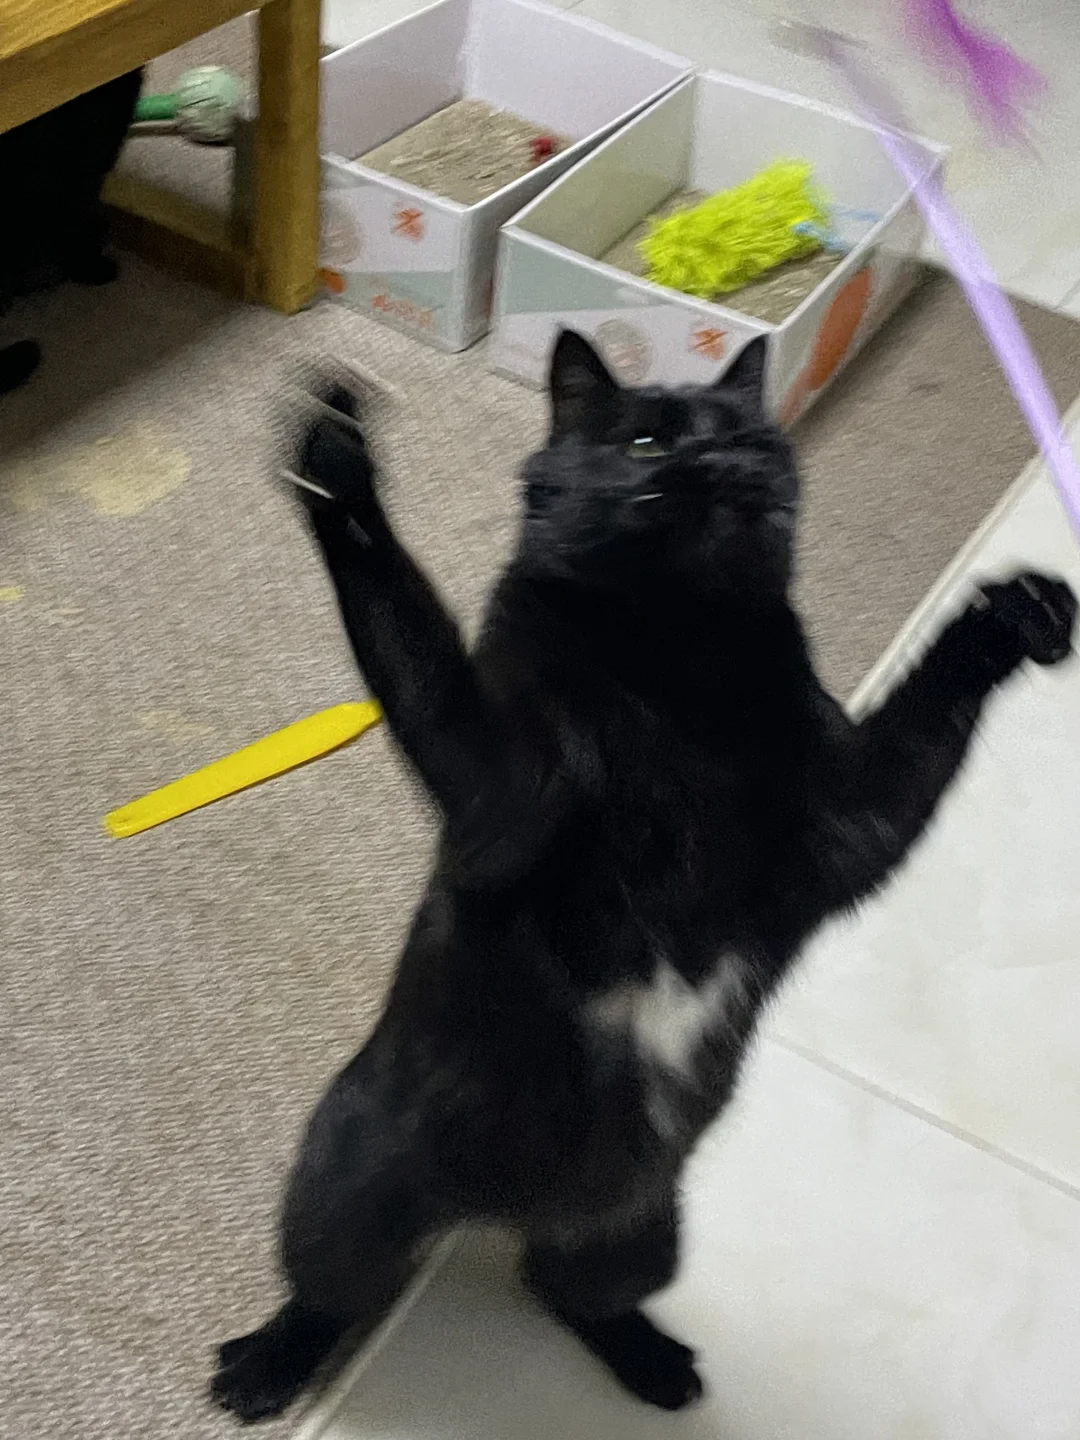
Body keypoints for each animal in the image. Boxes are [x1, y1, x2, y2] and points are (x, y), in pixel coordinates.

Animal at [211, 333, 1076, 1423]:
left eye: (749, 436)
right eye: (645, 441)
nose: (716, 461)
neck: (680, 659)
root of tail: (503, 1213)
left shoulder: (843, 829)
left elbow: (923, 726)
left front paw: (1019, 615)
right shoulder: (502, 793)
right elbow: (418, 644)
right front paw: (339, 463)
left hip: (641, 1233)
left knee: (566, 1288)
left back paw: (658, 1367)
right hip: (345, 1197)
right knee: (332, 1296)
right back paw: (263, 1371)